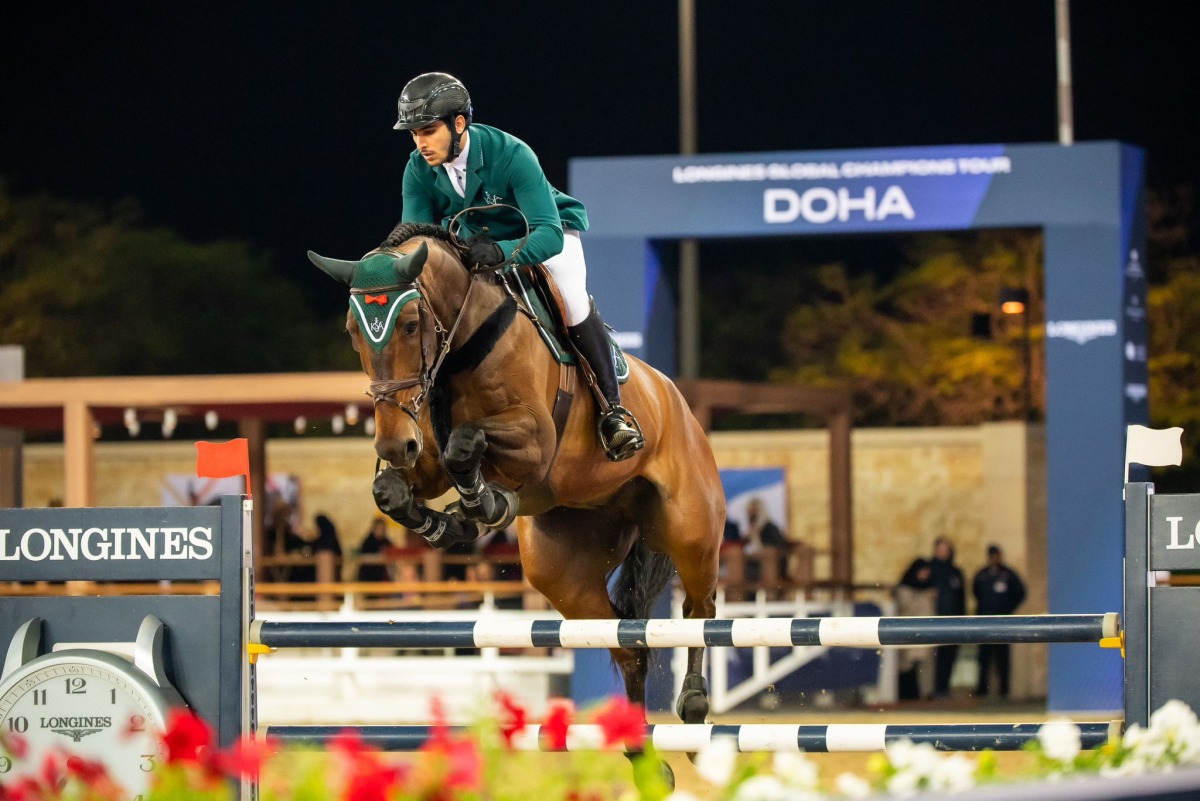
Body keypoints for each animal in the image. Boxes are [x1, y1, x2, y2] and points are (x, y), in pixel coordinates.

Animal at [312, 224, 720, 733]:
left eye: (408, 325)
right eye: (353, 333)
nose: (391, 445)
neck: (463, 345)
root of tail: (676, 399)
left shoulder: (535, 441)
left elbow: (465, 443)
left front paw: (482, 506)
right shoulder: (424, 457)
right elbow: (393, 488)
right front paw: (449, 523)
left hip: (690, 529)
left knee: (699, 609)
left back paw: (695, 699)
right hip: (563, 571)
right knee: (627, 648)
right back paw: (639, 746)